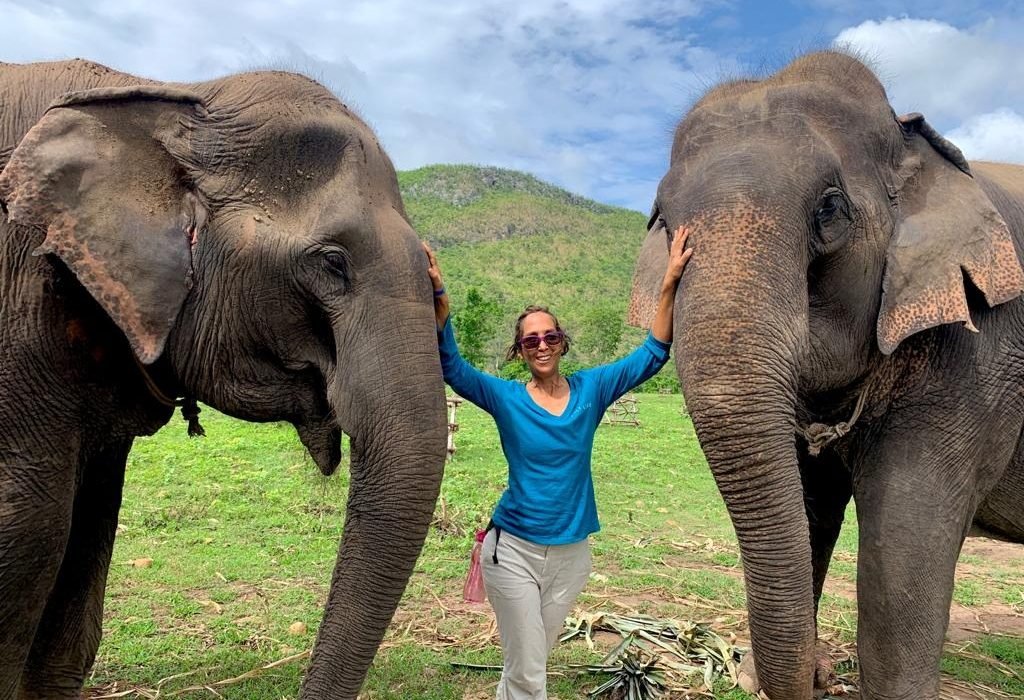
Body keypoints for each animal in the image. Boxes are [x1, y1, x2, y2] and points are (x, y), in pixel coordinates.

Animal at [626, 50, 1024, 700]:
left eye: (829, 210)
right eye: (662, 221)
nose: (820, 680)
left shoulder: (980, 350)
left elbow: (905, 532)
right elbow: (808, 505)